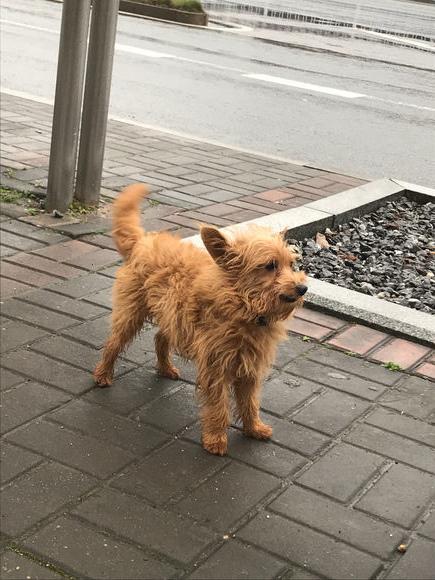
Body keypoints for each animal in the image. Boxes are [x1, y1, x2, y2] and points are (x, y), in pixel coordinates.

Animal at [93, 184, 308, 456]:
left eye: (292, 264)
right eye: (270, 265)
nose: (303, 288)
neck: (244, 307)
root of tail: (143, 241)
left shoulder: (250, 368)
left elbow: (250, 402)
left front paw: (253, 428)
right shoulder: (216, 367)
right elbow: (218, 406)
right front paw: (215, 438)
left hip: (172, 316)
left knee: (160, 338)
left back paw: (165, 367)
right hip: (131, 314)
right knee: (113, 343)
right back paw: (103, 374)